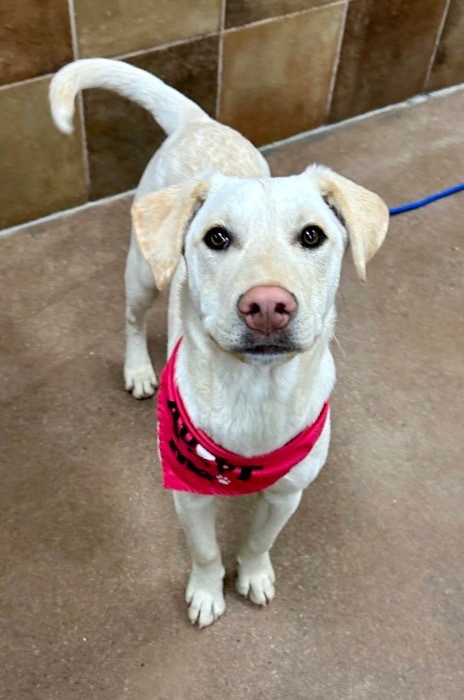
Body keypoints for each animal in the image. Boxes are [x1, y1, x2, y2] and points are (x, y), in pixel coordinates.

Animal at [49, 58, 388, 628]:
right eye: (217, 238)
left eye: (313, 236)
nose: (268, 306)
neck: (255, 391)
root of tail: (199, 121)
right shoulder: (189, 495)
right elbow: (206, 550)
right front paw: (208, 594)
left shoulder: (287, 493)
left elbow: (258, 541)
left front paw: (253, 575)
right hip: (144, 273)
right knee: (131, 320)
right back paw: (138, 369)